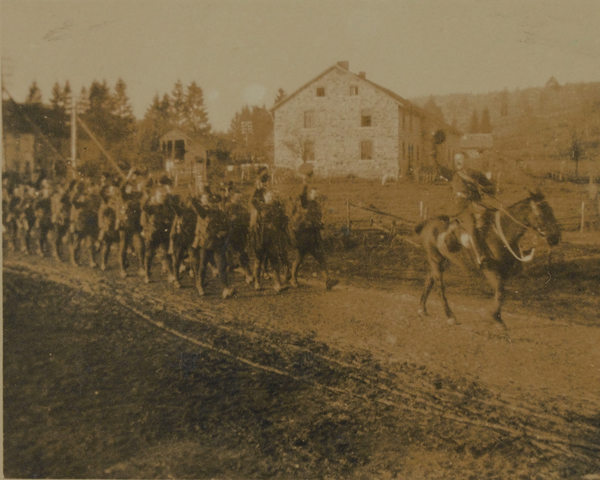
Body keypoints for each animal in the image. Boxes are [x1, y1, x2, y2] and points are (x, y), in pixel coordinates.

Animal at [414, 189, 560, 328]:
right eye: (543, 213)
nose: (555, 237)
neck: (500, 233)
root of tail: (427, 223)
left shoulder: (504, 271)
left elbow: (501, 292)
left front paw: (497, 317)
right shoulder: (489, 269)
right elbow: (500, 290)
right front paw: (496, 318)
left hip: (443, 260)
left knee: (429, 280)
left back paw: (422, 309)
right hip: (435, 260)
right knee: (440, 288)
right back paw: (450, 316)